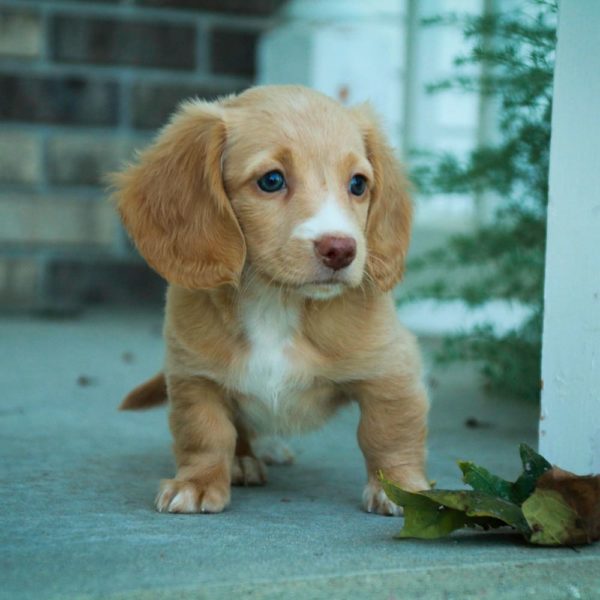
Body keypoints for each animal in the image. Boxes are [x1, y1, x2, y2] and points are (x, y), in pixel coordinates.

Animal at [112, 84, 428, 516]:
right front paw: (197, 483)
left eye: (359, 184)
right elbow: (205, 433)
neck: (276, 301)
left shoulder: (392, 369)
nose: (341, 250)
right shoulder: (194, 376)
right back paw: (245, 460)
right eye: (272, 180)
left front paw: (400, 488)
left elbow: (389, 432)